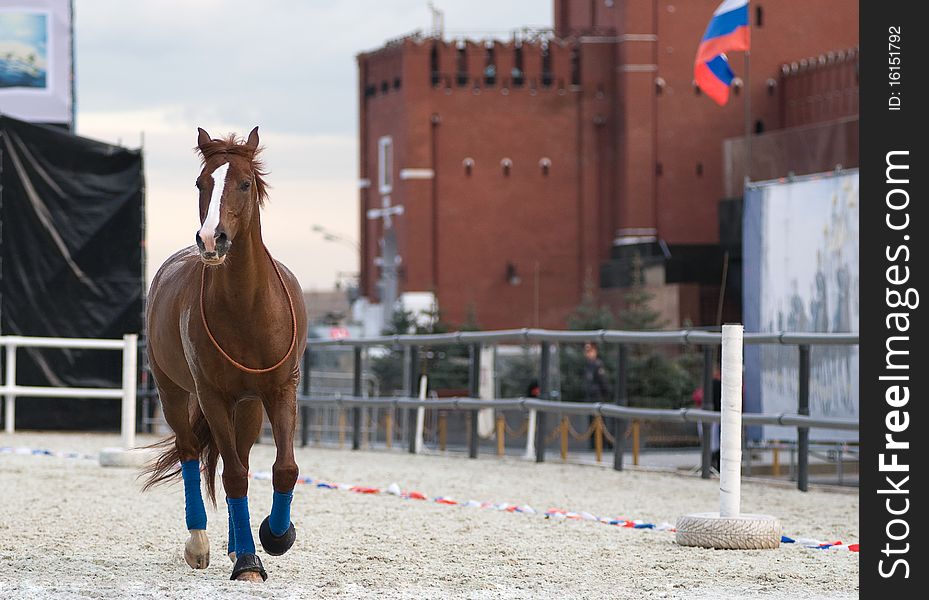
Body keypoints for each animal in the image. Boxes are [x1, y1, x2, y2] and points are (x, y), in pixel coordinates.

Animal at [142, 126, 308, 580]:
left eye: (245, 183)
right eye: (202, 183)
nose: (209, 239)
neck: (247, 305)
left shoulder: (281, 390)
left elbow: (284, 469)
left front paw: (275, 536)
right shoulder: (212, 396)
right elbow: (232, 477)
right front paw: (251, 560)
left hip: (248, 406)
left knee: (245, 459)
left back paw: (238, 544)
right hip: (173, 393)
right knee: (188, 453)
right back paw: (201, 544)